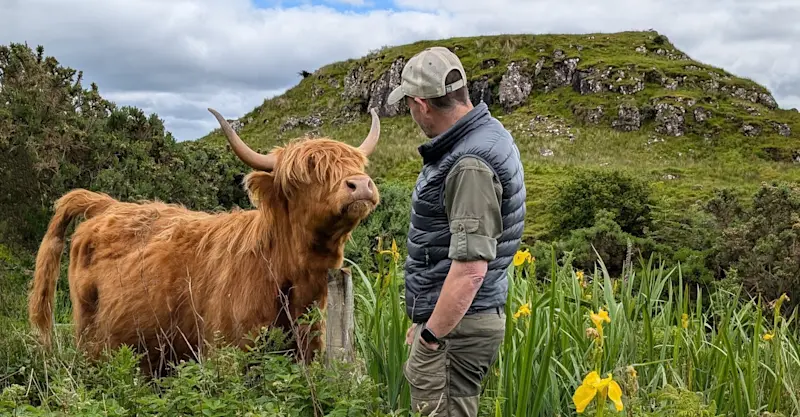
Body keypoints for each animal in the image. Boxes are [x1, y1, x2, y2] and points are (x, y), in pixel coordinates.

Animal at [27, 107, 382, 376]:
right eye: (305, 176)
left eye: (355, 165)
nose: (360, 185)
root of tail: (107, 205)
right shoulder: (225, 351)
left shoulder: (309, 349)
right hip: (91, 337)